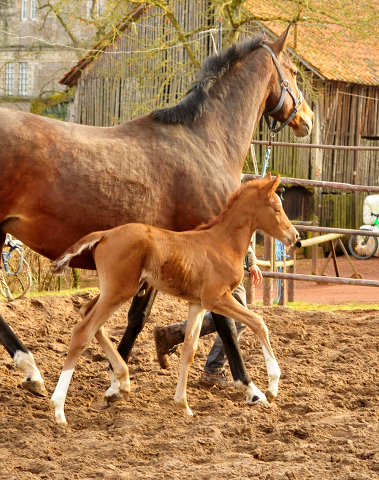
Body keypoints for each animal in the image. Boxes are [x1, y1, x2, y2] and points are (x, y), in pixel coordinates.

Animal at [51, 175, 300, 424]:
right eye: (277, 208)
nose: (295, 237)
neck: (222, 243)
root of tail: (105, 234)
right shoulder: (216, 299)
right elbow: (259, 323)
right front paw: (271, 388)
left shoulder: (197, 304)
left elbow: (189, 349)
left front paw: (183, 404)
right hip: (118, 291)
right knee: (83, 331)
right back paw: (59, 409)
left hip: (114, 290)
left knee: (87, 314)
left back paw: (122, 380)